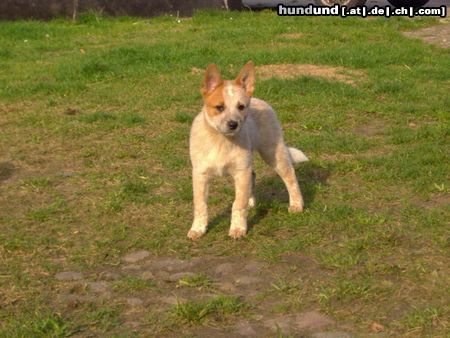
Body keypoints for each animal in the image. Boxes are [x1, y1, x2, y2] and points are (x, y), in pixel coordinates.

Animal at [187, 61, 310, 240]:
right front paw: (198, 229)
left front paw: (238, 228)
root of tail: (259, 100)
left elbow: (238, 204)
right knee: (253, 176)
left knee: (290, 175)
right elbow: (200, 205)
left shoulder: (241, 171)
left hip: (272, 153)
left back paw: (296, 204)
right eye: (219, 107)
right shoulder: (200, 174)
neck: (222, 141)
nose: (233, 124)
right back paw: (251, 201)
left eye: (241, 107)